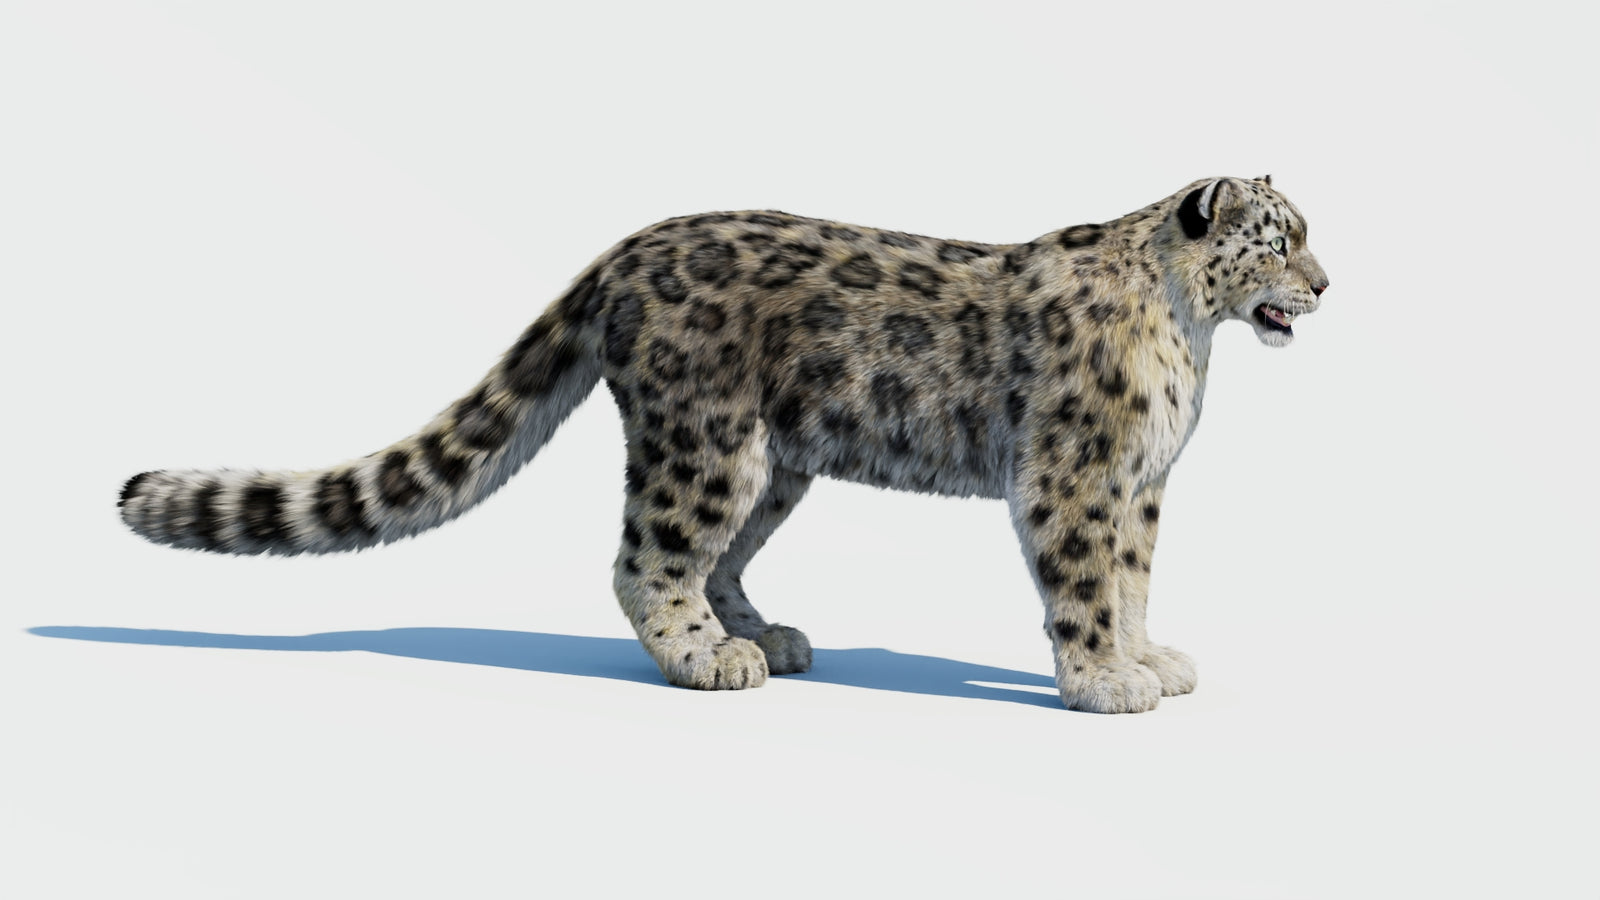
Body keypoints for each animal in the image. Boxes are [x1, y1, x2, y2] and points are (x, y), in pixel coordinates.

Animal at [119, 175, 1329, 713]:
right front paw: (1102, 680)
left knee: (718, 557)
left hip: (774, 464)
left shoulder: (1141, 484)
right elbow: (1082, 580)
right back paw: (707, 659)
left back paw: (761, 635)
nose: (1325, 285)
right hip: (707, 442)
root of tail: (625, 248)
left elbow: (1132, 577)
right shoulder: (1075, 473)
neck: (1193, 337)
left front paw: (1148, 657)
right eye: (1278, 240)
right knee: (647, 555)